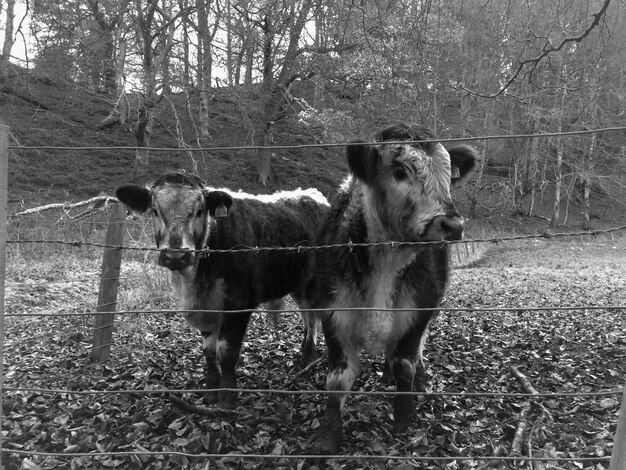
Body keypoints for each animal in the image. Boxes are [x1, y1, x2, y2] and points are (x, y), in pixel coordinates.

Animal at [114, 173, 326, 408]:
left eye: (199, 211)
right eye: (155, 210)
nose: (176, 256)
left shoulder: (239, 304)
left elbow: (227, 351)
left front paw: (227, 396)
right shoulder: (205, 307)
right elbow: (209, 351)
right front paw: (211, 389)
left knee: (314, 315)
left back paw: (308, 357)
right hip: (299, 283)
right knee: (308, 315)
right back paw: (306, 356)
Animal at [300, 124, 476, 452]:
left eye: (449, 176)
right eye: (399, 170)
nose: (453, 225)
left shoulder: (418, 311)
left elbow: (405, 364)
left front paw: (405, 422)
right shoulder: (334, 314)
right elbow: (337, 378)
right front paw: (329, 436)